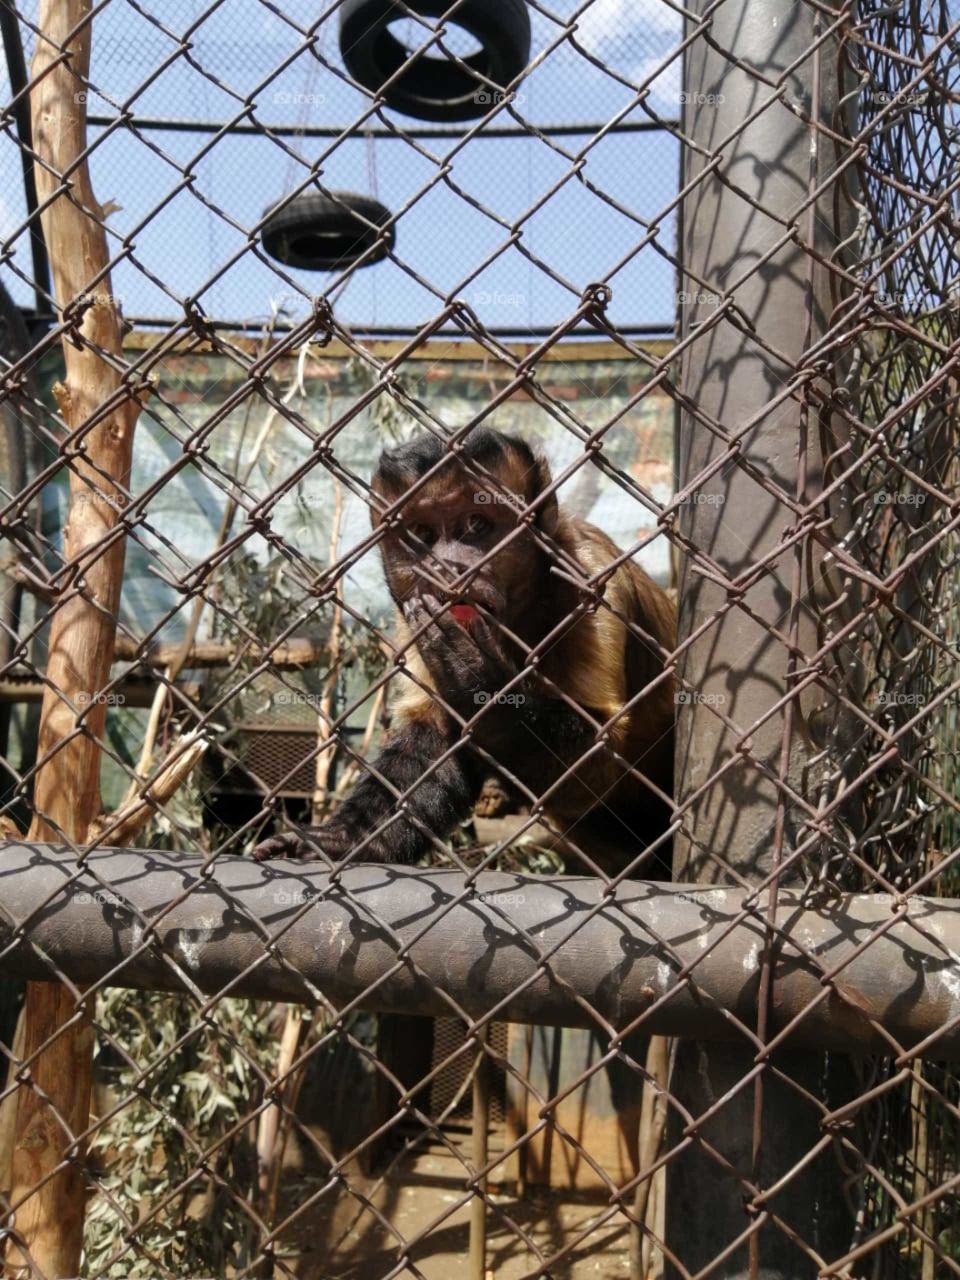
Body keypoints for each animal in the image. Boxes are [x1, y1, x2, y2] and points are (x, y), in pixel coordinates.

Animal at [252, 428, 676, 877]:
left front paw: (477, 679)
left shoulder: (590, 573)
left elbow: (598, 757)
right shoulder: (411, 615)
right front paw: (342, 839)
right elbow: (437, 735)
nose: (447, 569)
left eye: (477, 524)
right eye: (421, 534)